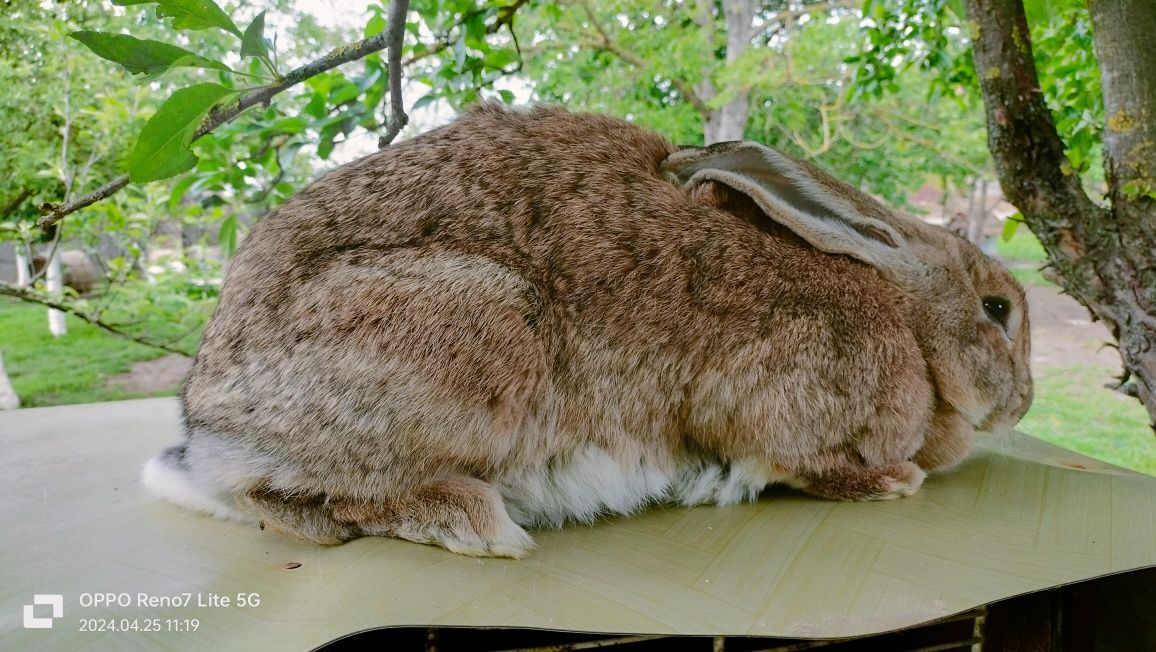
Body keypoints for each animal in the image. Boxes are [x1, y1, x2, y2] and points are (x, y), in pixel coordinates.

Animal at [139, 104, 1035, 557]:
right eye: (998, 310)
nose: (1024, 404)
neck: (906, 319)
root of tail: (207, 426)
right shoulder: (775, 406)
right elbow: (800, 460)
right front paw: (893, 481)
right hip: (475, 332)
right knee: (301, 498)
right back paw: (474, 523)